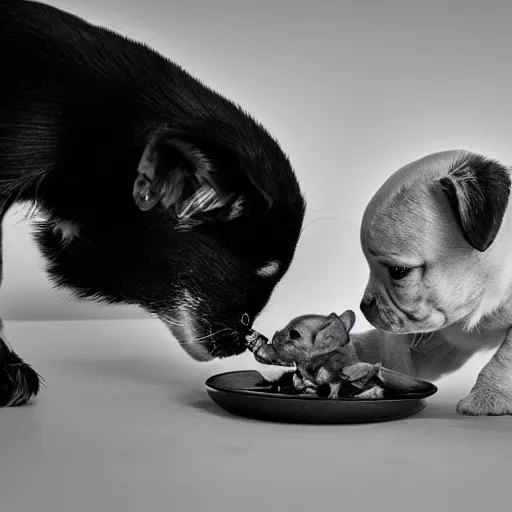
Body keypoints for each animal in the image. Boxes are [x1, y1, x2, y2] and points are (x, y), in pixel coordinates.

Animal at [354, 149, 512, 416]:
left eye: (398, 272)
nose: (364, 306)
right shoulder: (434, 343)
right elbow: (396, 351)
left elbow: (504, 359)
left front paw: (489, 395)